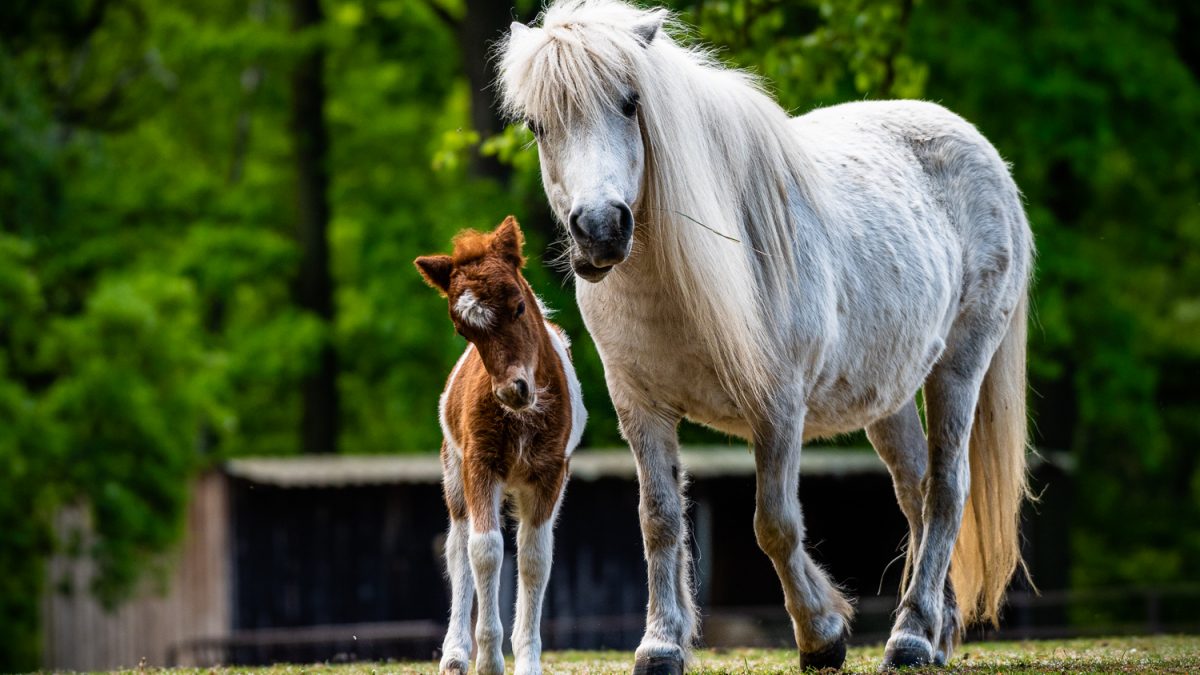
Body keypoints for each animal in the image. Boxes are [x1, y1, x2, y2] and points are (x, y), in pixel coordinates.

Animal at [415, 216, 587, 675]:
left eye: (519, 306)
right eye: (463, 329)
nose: (513, 390)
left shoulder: (550, 474)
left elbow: (534, 556)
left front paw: (527, 661)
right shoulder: (480, 464)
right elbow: (485, 550)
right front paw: (489, 660)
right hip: (454, 472)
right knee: (457, 547)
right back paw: (456, 655)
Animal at [499, 2, 1033, 672]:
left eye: (629, 102)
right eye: (538, 125)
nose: (600, 229)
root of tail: (981, 151)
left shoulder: (777, 407)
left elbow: (774, 523)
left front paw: (822, 634)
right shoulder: (640, 407)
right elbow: (660, 520)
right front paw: (662, 643)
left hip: (959, 368)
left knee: (946, 490)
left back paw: (910, 637)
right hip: (889, 397)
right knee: (916, 489)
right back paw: (934, 633)